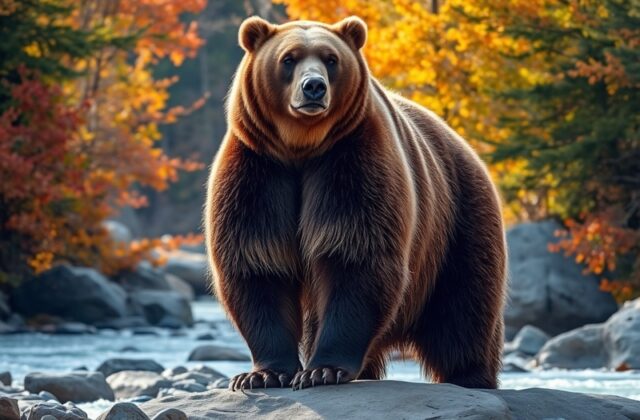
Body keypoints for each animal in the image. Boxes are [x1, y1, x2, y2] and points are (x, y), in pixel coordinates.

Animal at [205, 15, 507, 391]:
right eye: (289, 58)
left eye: (331, 58)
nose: (314, 87)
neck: (301, 148)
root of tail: (464, 145)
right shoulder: (259, 170)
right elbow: (258, 262)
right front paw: (262, 374)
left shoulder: (351, 160)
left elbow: (354, 256)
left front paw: (323, 370)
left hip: (458, 218)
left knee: (464, 306)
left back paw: (469, 375)